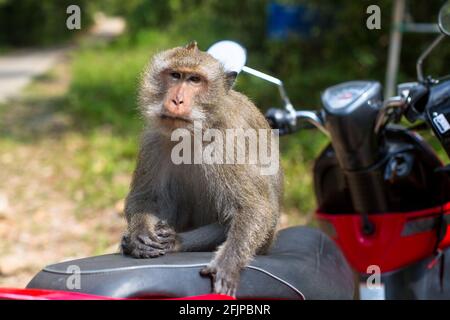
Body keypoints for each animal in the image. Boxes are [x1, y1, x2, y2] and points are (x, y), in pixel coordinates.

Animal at [121, 41, 284, 296]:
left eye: (195, 80)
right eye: (175, 76)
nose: (177, 100)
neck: (195, 132)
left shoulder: (228, 142)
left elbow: (254, 208)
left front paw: (228, 263)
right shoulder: (153, 140)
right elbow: (145, 198)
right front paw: (140, 234)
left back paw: (176, 241)